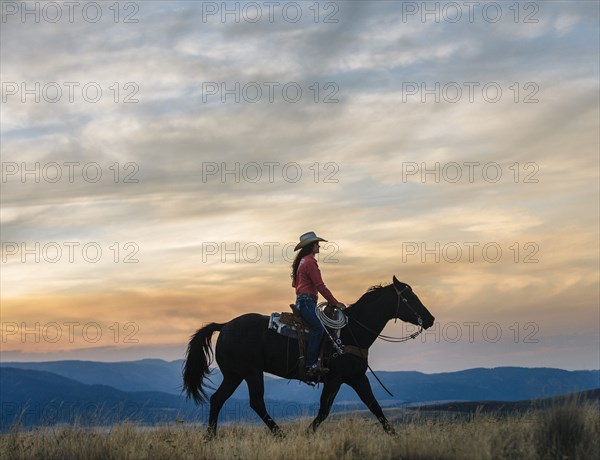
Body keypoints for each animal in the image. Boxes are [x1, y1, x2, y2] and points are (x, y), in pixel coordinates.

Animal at [180, 274, 434, 436]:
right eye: (409, 297)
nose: (430, 319)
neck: (352, 332)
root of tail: (224, 326)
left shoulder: (357, 377)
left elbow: (375, 407)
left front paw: (395, 436)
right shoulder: (334, 379)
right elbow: (324, 411)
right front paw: (307, 434)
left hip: (234, 375)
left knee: (217, 399)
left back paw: (210, 438)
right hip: (251, 372)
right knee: (256, 402)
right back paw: (280, 435)